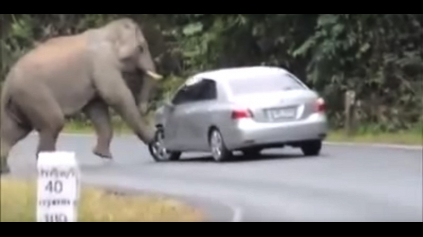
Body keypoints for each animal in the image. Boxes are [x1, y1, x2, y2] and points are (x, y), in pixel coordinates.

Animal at [0, 17, 163, 174]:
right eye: (141, 48)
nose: (144, 109)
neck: (107, 31)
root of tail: (8, 82)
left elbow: (96, 107)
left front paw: (102, 155)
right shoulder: (103, 63)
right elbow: (115, 96)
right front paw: (153, 138)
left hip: (20, 101)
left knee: (16, 129)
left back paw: (5, 171)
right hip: (34, 94)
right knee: (53, 122)